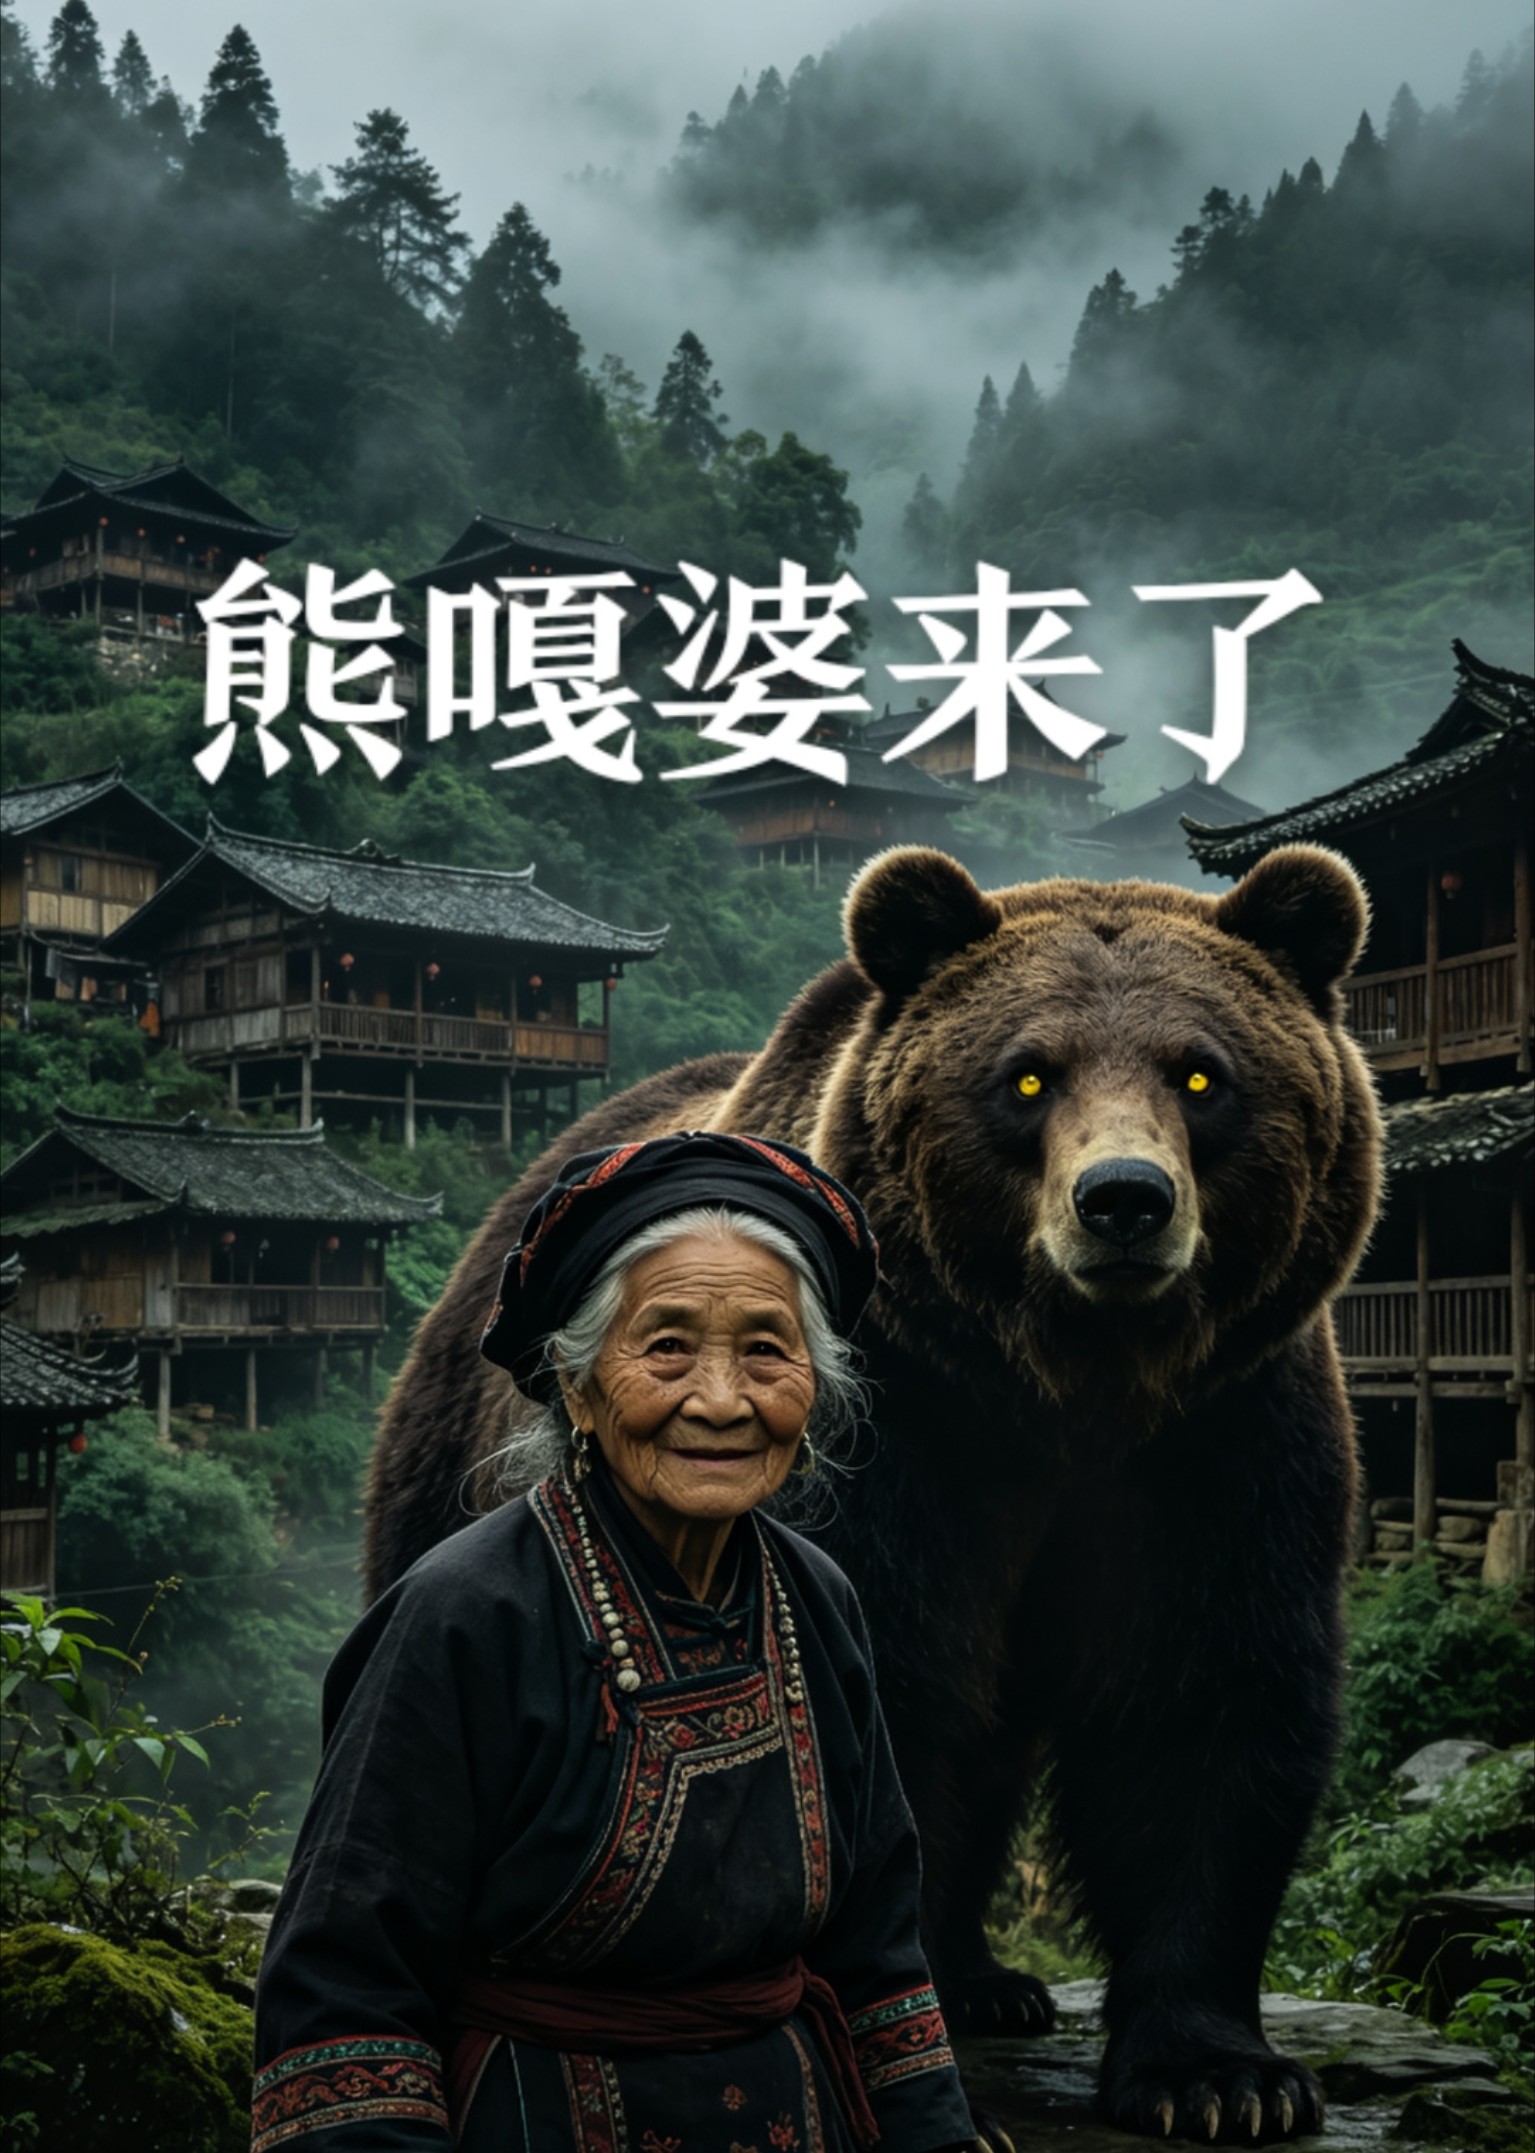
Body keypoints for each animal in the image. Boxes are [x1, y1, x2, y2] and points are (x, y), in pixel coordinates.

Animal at [365, 842, 1382, 2144]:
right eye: (1027, 1074)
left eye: (1201, 1072)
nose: (1122, 1198)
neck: (1066, 1390)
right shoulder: (896, 1440)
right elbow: (884, 1713)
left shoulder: (1218, 1438)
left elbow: (1203, 1700)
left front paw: (1221, 2077)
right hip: (448, 1461)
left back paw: (996, 1983)